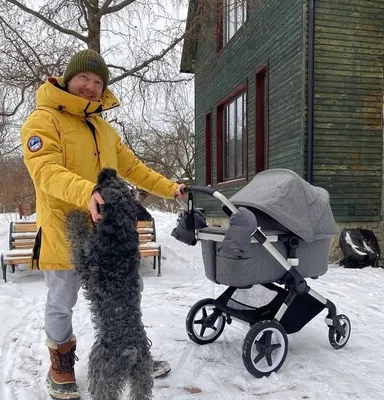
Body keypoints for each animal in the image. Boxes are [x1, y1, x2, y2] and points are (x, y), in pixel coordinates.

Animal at [67, 167, 154, 400]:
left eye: (111, 183)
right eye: (122, 184)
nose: (108, 170)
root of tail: (131, 351)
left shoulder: (84, 261)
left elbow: (77, 236)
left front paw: (75, 216)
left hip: (101, 372)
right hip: (142, 378)